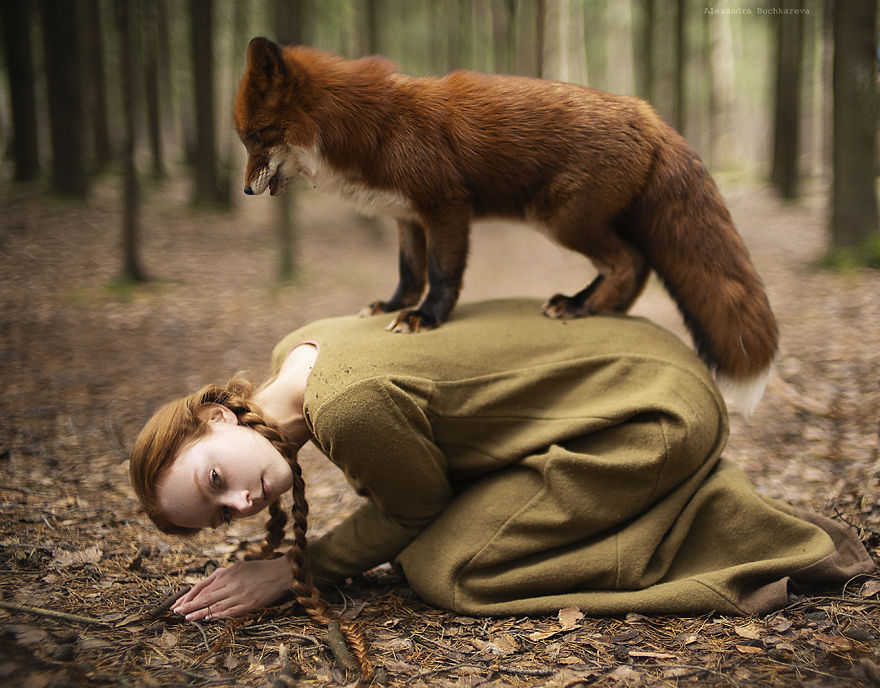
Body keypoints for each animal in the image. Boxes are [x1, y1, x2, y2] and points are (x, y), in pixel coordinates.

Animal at [234, 37, 778, 415]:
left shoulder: (446, 206)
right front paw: (393, 306)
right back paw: (585, 303)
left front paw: (425, 318)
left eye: (258, 137)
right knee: (639, 264)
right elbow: (409, 274)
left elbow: (442, 276)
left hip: (561, 220)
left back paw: (583, 308)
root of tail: (647, 112)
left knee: (629, 261)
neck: (373, 127)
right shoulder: (406, 218)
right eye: (243, 140)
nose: (244, 192)